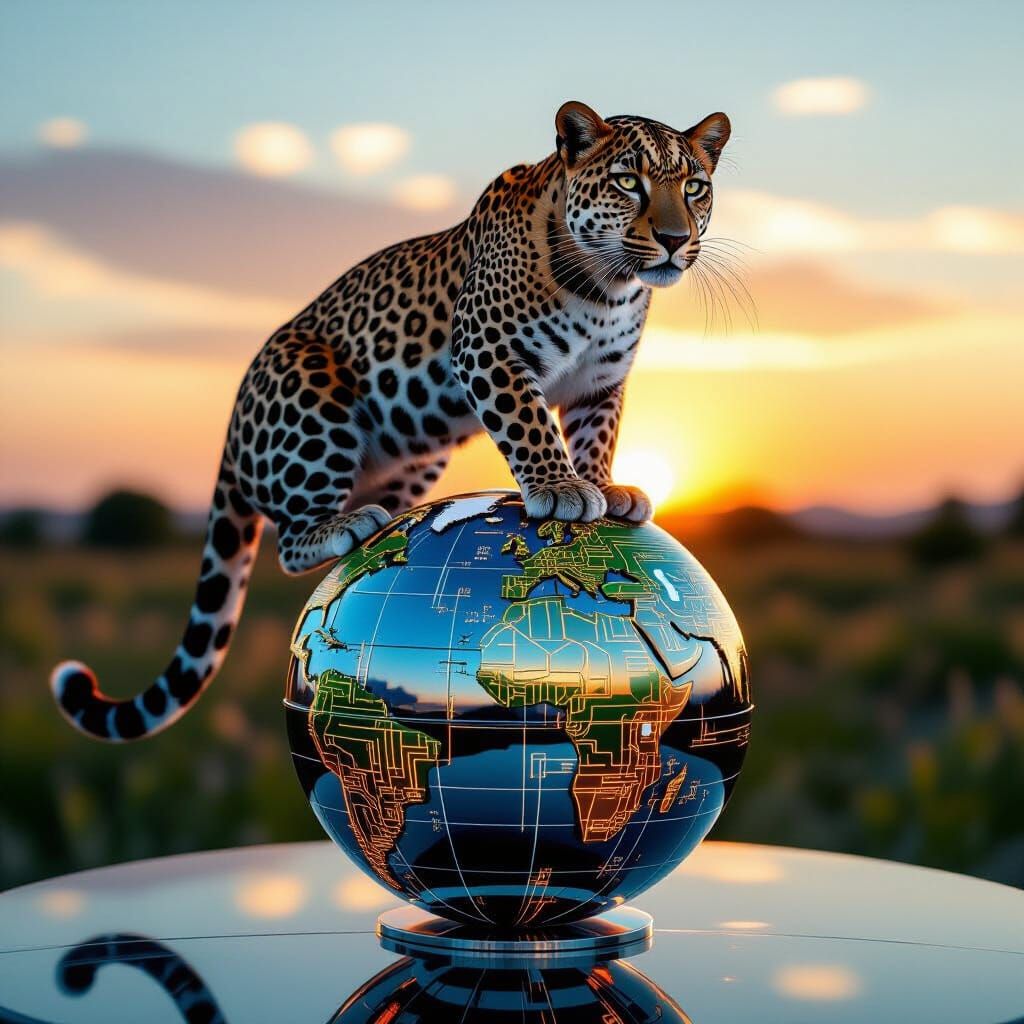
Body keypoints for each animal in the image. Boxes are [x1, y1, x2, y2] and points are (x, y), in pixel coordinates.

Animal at [50, 101, 731, 741]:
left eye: (694, 187)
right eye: (628, 181)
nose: (675, 238)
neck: (607, 288)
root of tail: (233, 426)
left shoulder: (600, 383)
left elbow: (596, 438)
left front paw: (604, 488)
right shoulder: (486, 347)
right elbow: (530, 423)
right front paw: (561, 489)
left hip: (414, 459)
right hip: (311, 393)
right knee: (289, 546)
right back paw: (341, 527)